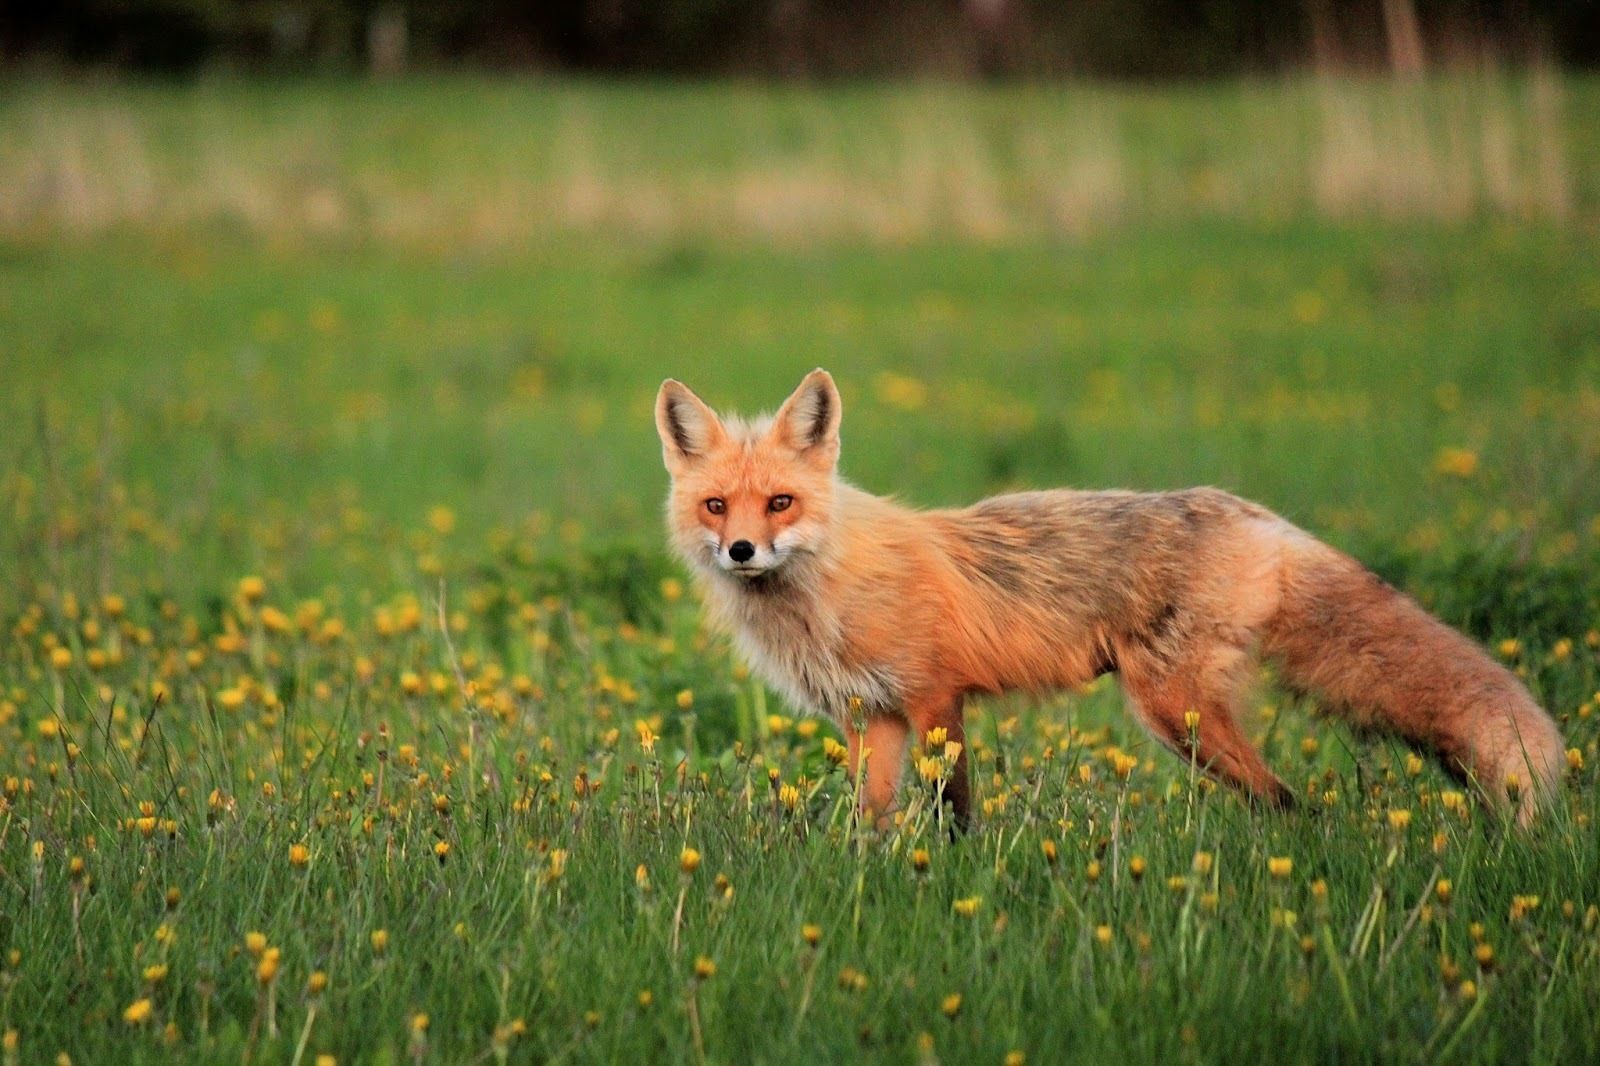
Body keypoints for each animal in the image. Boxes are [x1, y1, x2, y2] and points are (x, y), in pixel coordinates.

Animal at [654, 368, 1565, 828]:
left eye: (780, 503)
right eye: (717, 507)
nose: (741, 551)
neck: (828, 591)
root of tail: (1257, 515)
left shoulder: (938, 697)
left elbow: (956, 810)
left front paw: (949, 879)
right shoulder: (870, 717)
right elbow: (869, 822)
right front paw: (871, 882)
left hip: (1173, 710)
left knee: (1289, 801)